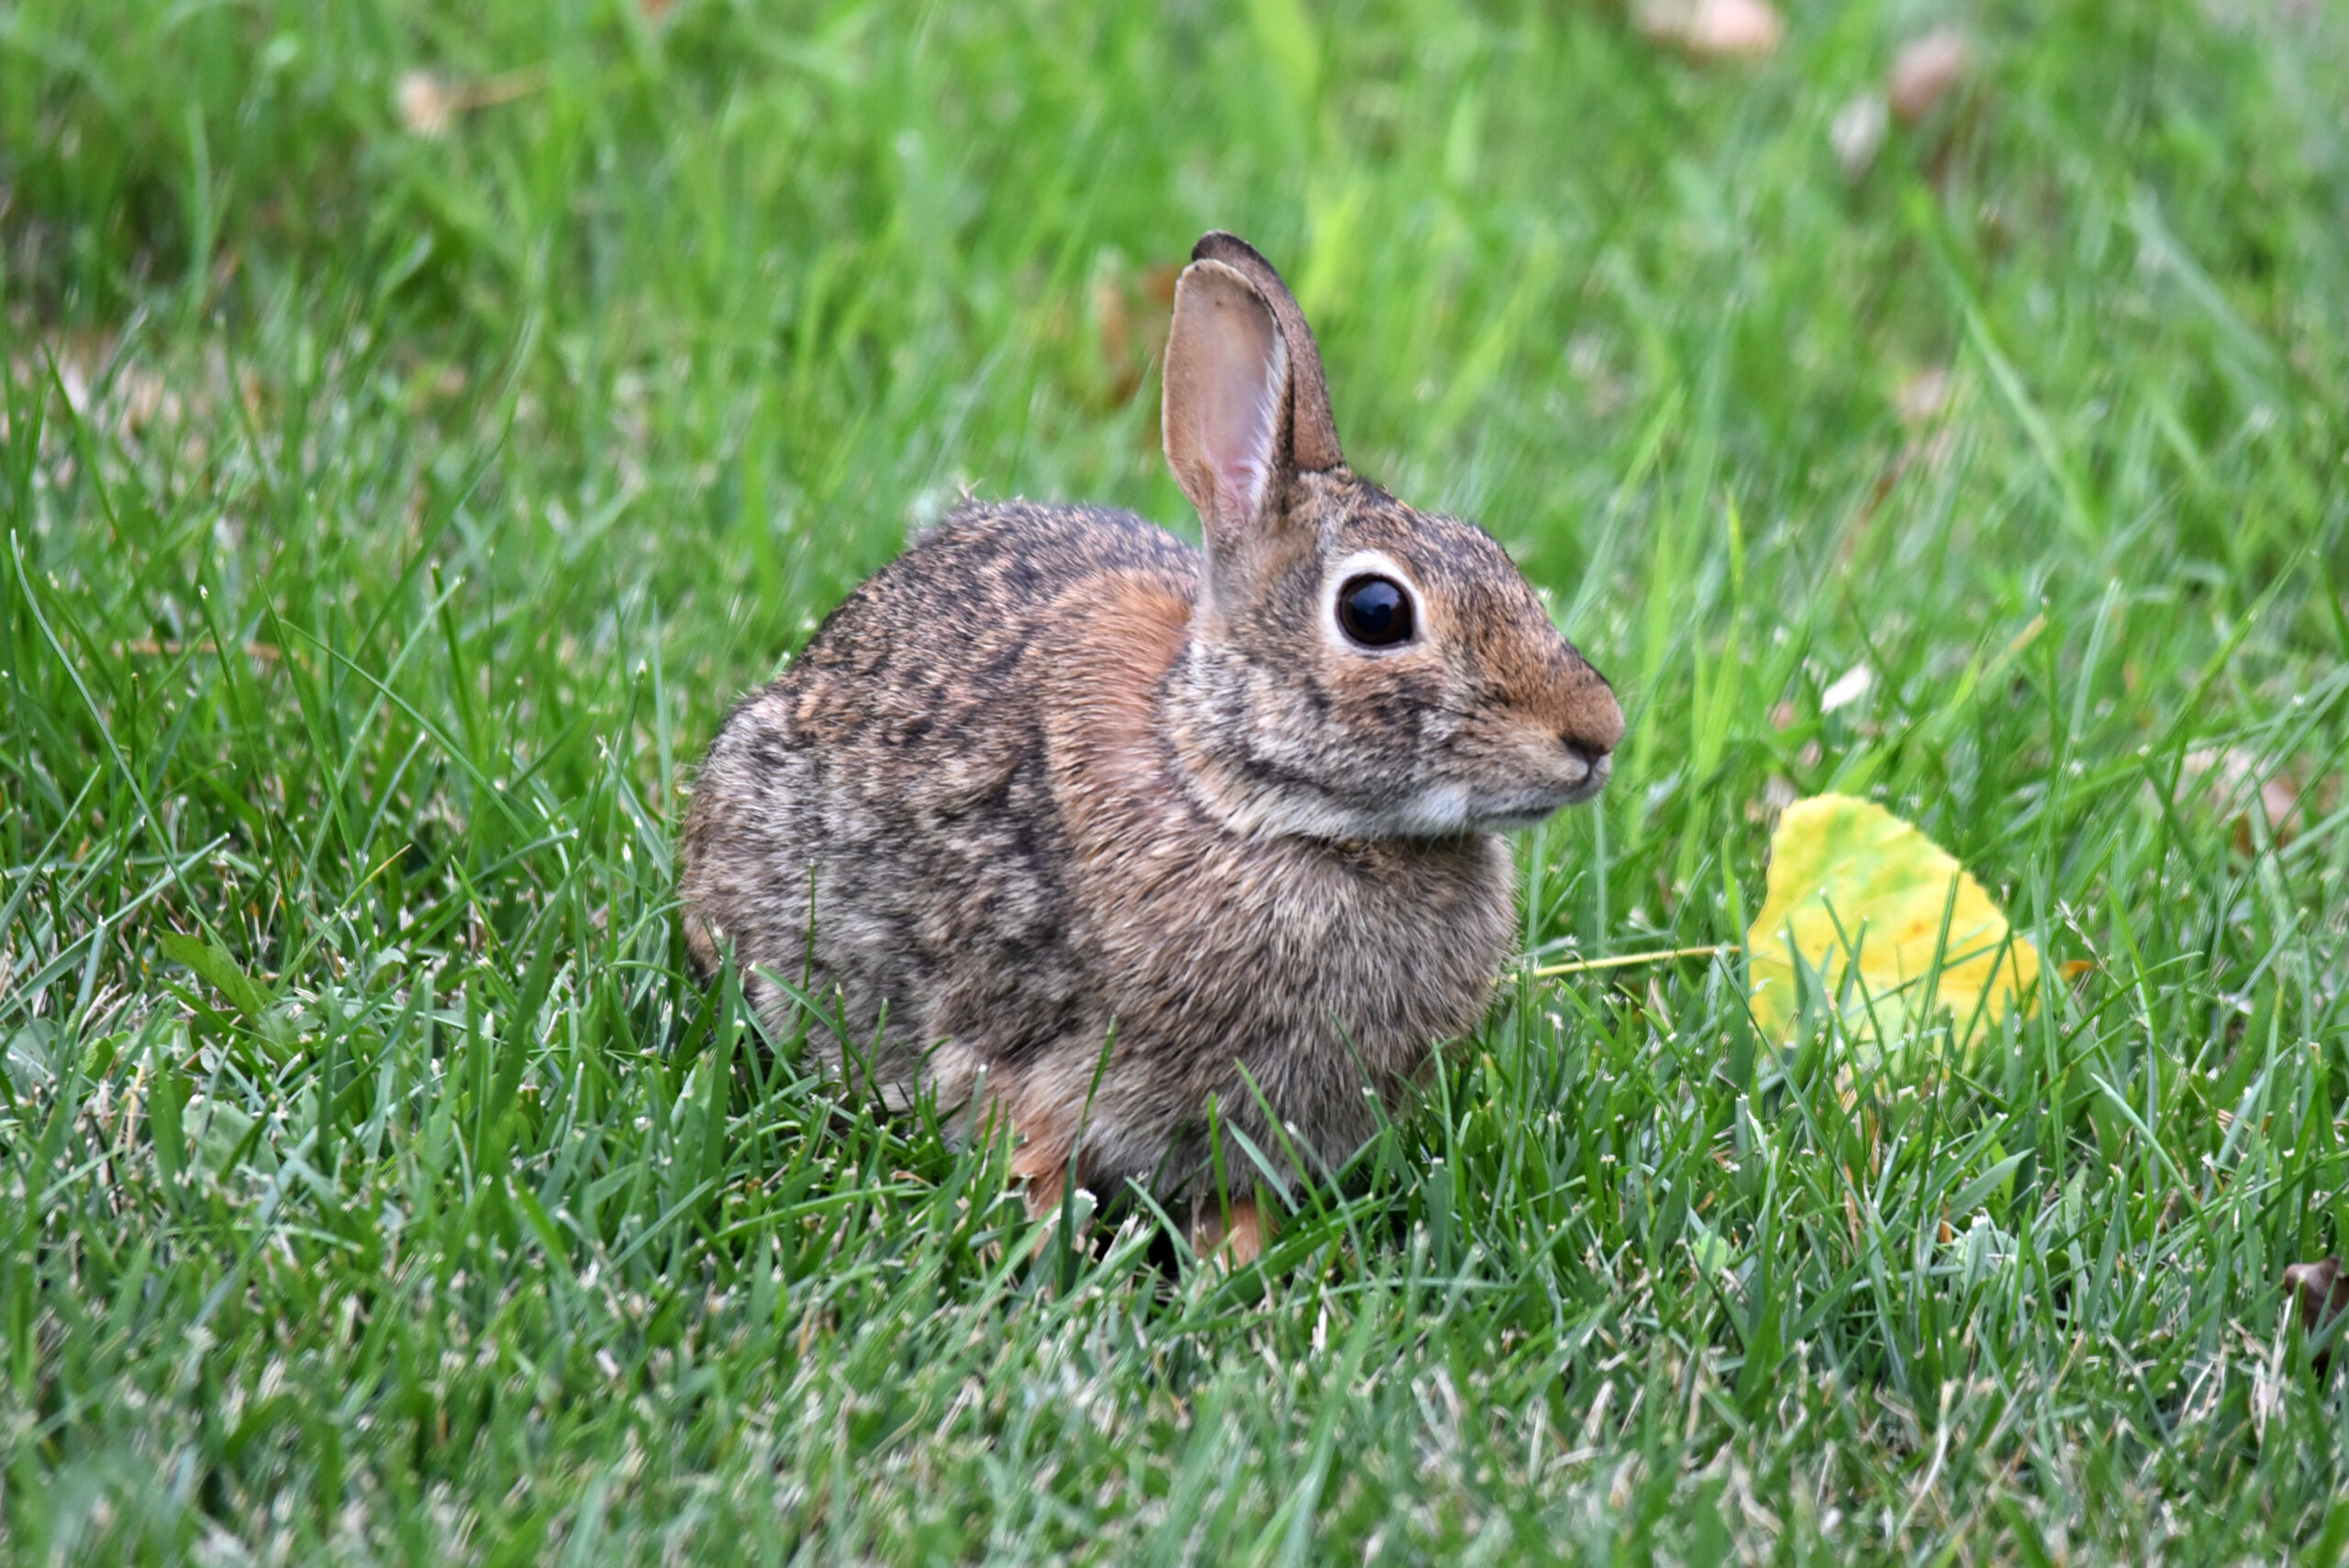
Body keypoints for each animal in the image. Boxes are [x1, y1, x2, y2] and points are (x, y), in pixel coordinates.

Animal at [681, 232, 1625, 1258]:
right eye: (1375, 611)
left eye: (1496, 556)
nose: (1598, 733)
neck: (1244, 798)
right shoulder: (1024, 1054)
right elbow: (1030, 1150)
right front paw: (1041, 1250)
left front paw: (1238, 1271)